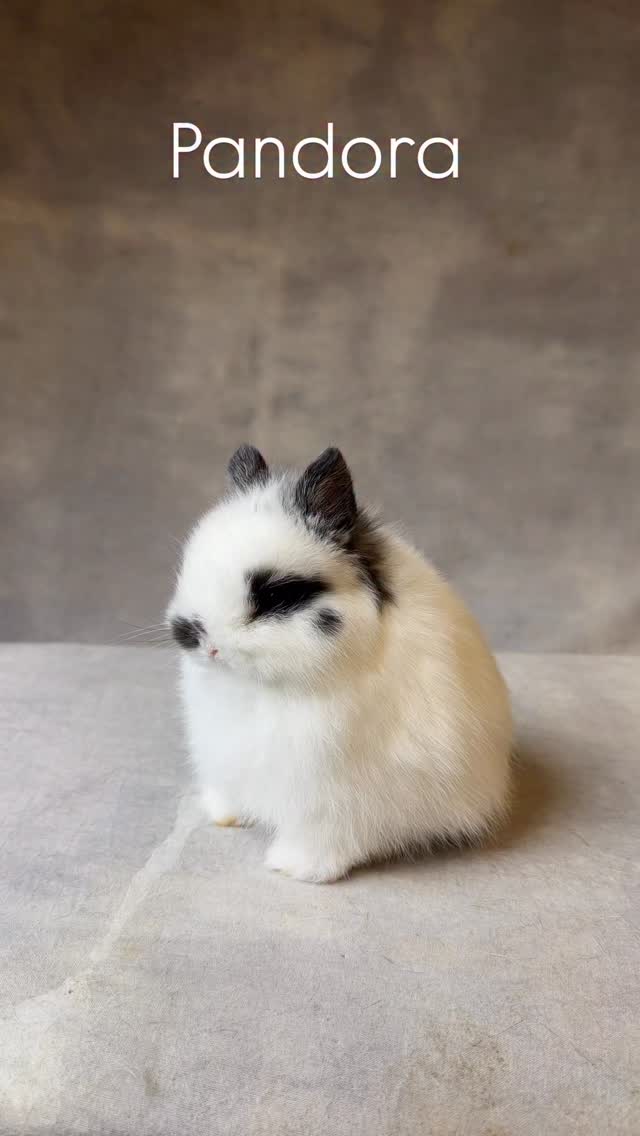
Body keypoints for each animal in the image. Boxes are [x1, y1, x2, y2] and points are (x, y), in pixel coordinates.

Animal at [167, 444, 513, 883]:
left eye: (276, 595)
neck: (258, 687)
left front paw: (294, 868)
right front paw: (225, 816)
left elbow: (322, 832)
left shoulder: (327, 794)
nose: (204, 641)